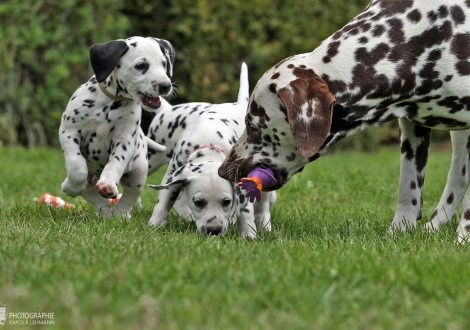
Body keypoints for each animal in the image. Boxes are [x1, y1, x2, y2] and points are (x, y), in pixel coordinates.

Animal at [59, 35, 174, 217]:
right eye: (141, 66)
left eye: (164, 64)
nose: (165, 85)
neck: (110, 103)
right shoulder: (69, 131)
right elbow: (76, 165)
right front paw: (72, 186)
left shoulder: (124, 140)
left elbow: (115, 163)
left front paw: (108, 183)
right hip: (90, 182)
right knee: (93, 195)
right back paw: (103, 210)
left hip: (138, 173)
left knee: (130, 196)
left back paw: (120, 214)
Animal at [148, 62, 276, 237]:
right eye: (198, 202)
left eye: (226, 202)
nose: (213, 231)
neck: (208, 142)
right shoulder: (173, 174)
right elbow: (163, 202)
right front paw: (154, 225)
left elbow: (245, 211)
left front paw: (248, 234)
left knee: (262, 206)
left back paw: (264, 226)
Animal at [218, 0, 470, 242]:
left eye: (253, 125)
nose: (223, 171)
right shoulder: (412, 128)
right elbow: (408, 191)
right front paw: (398, 233)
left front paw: (463, 238)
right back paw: (434, 227)